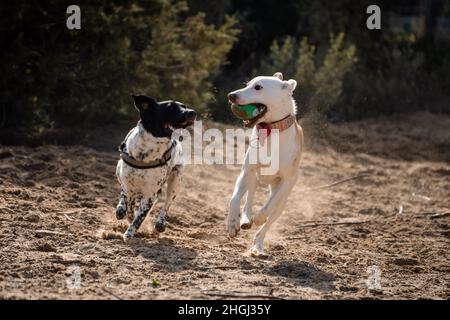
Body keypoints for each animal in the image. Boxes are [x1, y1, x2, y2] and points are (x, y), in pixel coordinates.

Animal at [116, 95, 195, 242]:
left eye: (185, 106)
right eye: (170, 107)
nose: (192, 112)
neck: (146, 152)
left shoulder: (150, 194)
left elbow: (139, 218)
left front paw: (129, 233)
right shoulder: (127, 183)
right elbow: (126, 200)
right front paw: (122, 211)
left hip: (176, 181)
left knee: (167, 203)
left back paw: (160, 223)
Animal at [227, 72, 304, 255]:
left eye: (258, 87)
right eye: (247, 84)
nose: (231, 96)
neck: (270, 130)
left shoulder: (286, 181)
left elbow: (269, 206)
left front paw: (259, 218)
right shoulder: (246, 171)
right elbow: (235, 199)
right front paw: (232, 223)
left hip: (283, 200)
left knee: (269, 220)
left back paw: (258, 244)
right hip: (253, 179)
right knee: (248, 200)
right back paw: (245, 219)